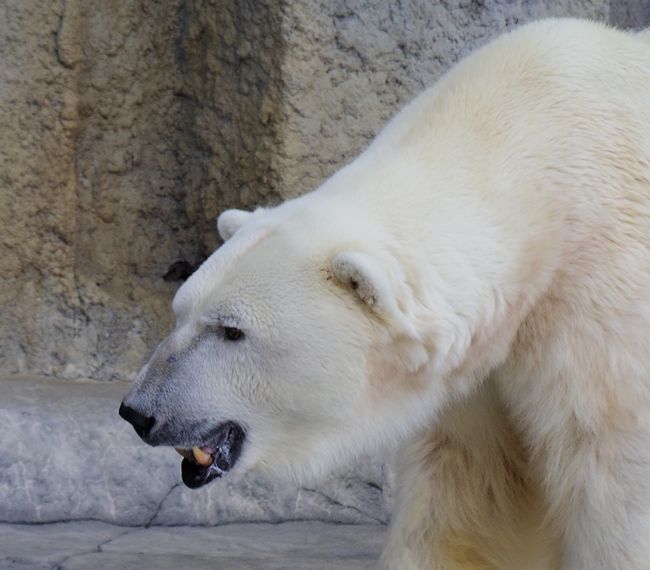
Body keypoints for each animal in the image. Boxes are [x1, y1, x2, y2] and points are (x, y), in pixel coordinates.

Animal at [120, 20, 648, 564]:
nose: (138, 412)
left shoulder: (597, 310)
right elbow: (467, 494)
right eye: (180, 311)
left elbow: (613, 485)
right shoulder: (473, 374)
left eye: (231, 330)